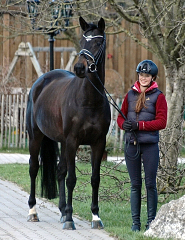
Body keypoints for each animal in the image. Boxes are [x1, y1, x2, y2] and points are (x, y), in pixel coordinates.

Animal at [25, 15, 110, 230]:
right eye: (82, 41)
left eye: (98, 42)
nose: (79, 68)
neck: (89, 100)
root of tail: (41, 81)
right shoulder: (73, 141)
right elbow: (72, 179)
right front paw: (71, 219)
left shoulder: (99, 143)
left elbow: (95, 179)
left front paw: (95, 217)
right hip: (36, 137)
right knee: (33, 168)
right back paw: (33, 212)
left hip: (62, 142)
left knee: (60, 171)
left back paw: (62, 211)